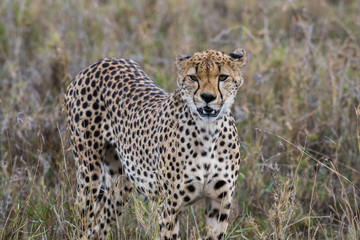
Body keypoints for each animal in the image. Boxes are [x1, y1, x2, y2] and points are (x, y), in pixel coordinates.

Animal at [64, 47, 246, 239]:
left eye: (223, 77)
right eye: (193, 77)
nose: (207, 97)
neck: (208, 132)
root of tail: (102, 61)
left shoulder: (219, 204)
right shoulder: (169, 206)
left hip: (119, 185)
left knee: (100, 225)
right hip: (89, 175)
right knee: (84, 223)